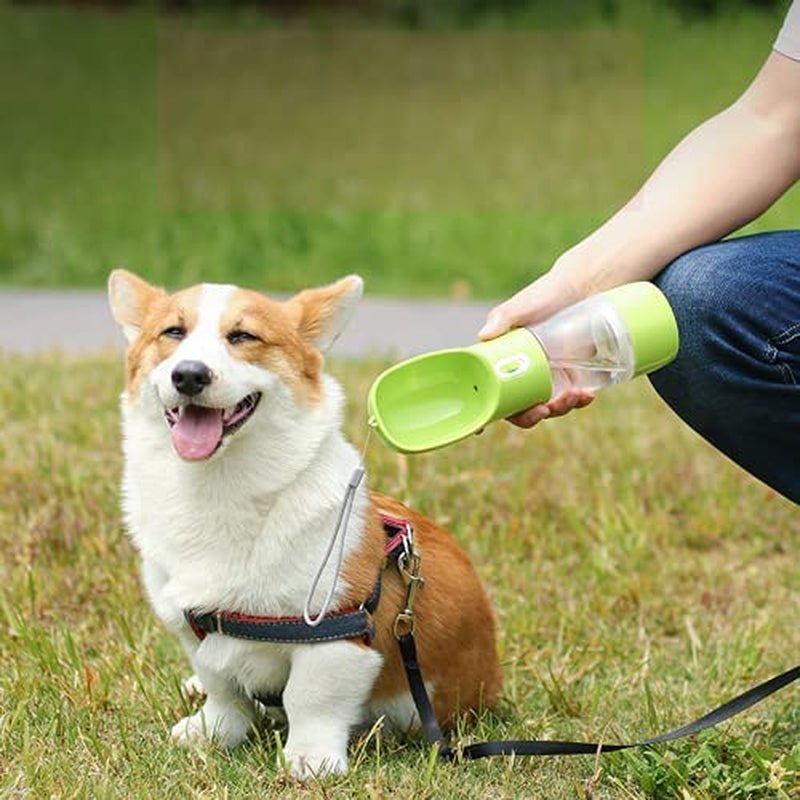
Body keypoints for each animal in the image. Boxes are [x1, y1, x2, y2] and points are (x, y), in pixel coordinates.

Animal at [108, 272, 500, 780]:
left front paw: (310, 760)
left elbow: (310, 698)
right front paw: (212, 732)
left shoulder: (336, 634)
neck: (218, 488)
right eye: (173, 332)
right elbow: (223, 689)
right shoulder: (192, 628)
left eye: (243, 336)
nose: (189, 375)